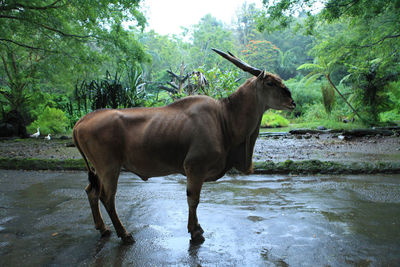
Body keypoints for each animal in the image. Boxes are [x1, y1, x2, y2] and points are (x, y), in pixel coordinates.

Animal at [73, 49, 296, 246]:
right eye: (270, 83)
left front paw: (197, 228)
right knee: (107, 197)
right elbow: (193, 199)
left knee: (91, 191)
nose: (292, 102)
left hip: (99, 169)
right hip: (109, 168)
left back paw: (103, 229)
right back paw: (125, 234)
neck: (224, 117)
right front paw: (195, 232)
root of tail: (80, 122)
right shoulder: (194, 168)